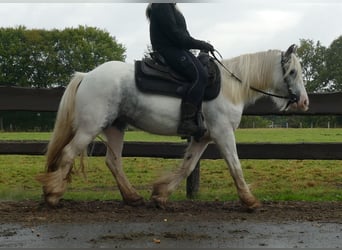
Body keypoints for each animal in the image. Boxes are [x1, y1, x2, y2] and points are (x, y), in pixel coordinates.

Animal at [37, 44, 310, 209]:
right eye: (293, 72)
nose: (304, 102)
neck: (231, 87)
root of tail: (87, 76)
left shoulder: (203, 137)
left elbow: (187, 166)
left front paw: (160, 194)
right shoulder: (222, 133)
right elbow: (235, 166)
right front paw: (250, 200)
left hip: (115, 127)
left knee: (113, 161)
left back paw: (132, 197)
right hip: (90, 127)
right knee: (68, 154)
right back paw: (52, 194)